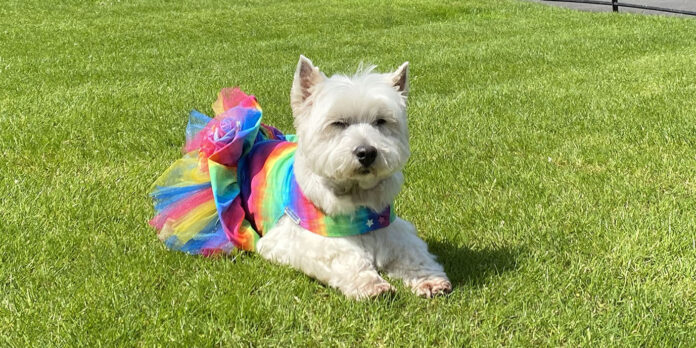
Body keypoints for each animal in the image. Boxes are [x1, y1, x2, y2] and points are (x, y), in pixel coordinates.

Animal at [256, 55, 452, 298]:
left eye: (381, 121)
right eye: (339, 123)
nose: (366, 152)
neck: (357, 195)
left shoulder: (392, 229)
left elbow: (413, 252)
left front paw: (429, 280)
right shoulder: (289, 237)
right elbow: (340, 254)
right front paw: (371, 284)